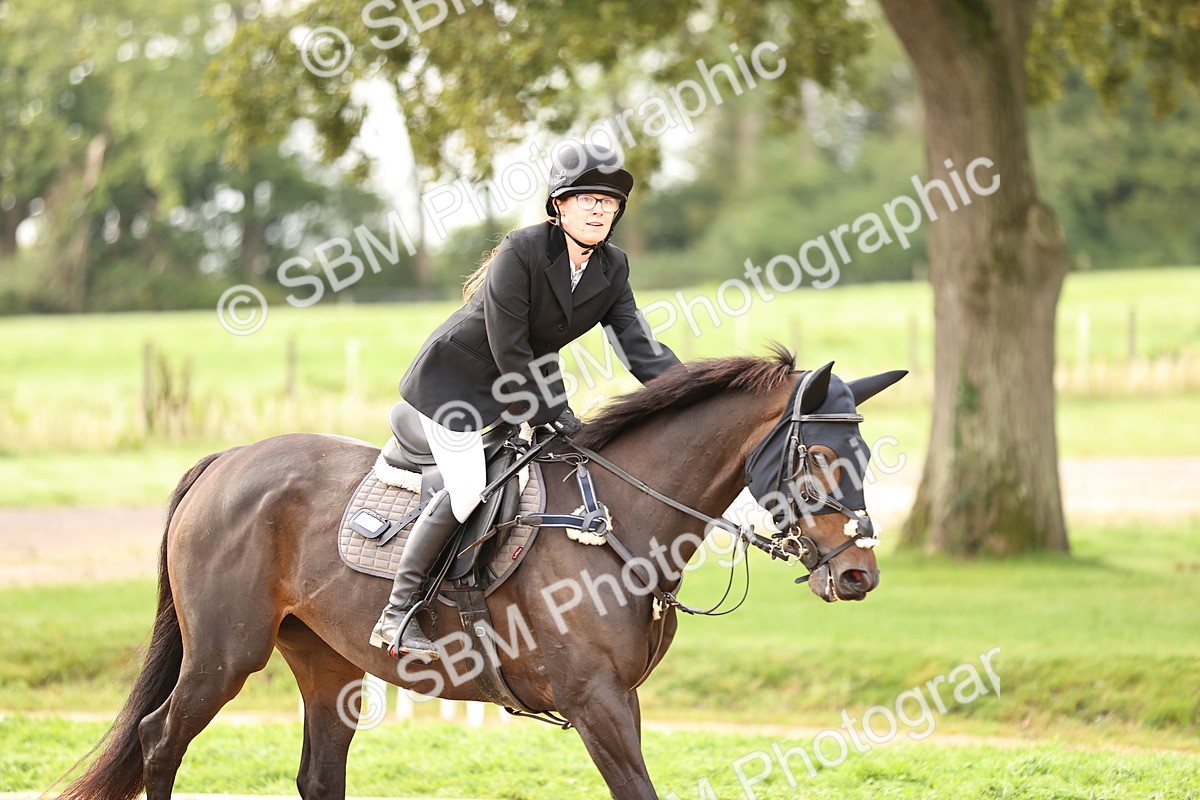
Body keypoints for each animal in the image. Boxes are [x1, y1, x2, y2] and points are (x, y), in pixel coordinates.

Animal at [58, 348, 905, 800]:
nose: (858, 576)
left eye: (865, 455)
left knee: (317, 774)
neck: (618, 519)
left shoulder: (620, 701)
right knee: (160, 736)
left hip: (327, 666)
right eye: (817, 459)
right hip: (225, 654)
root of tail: (226, 461)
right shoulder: (597, 703)